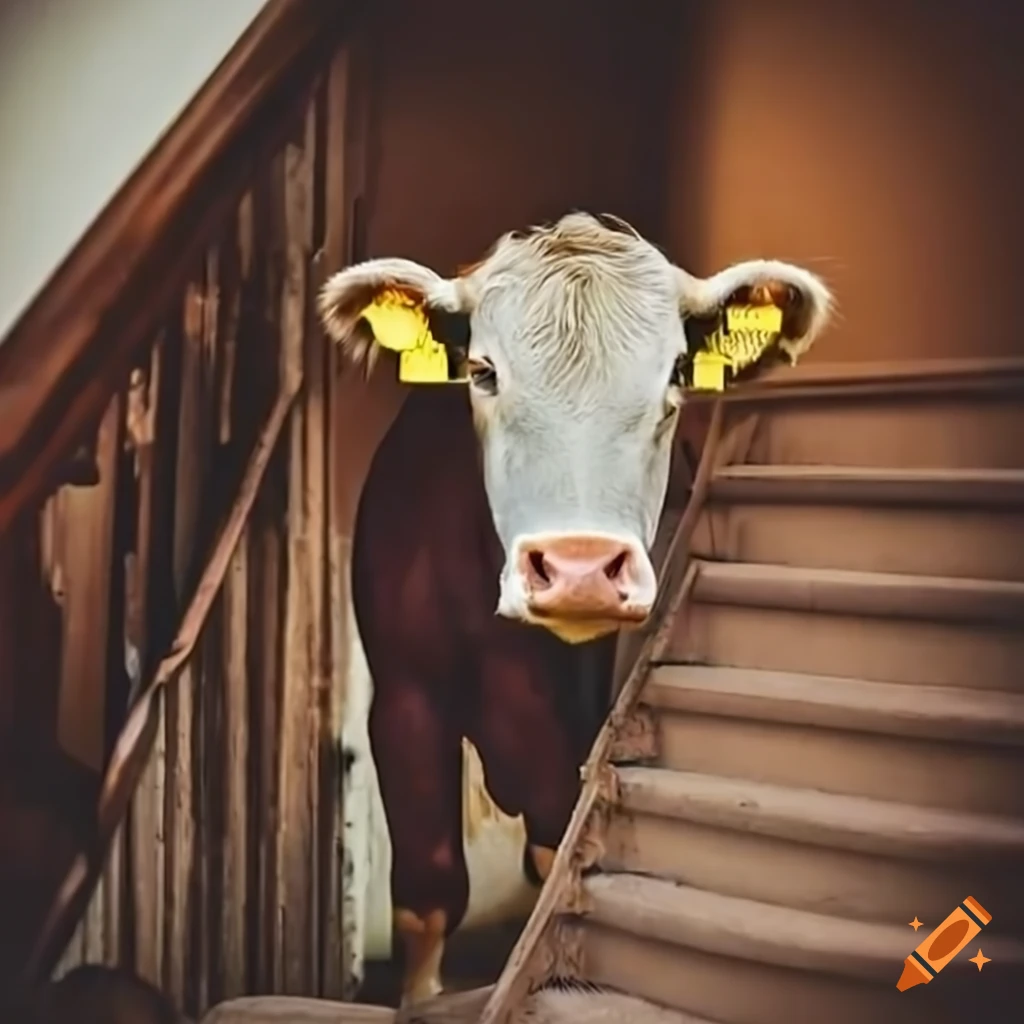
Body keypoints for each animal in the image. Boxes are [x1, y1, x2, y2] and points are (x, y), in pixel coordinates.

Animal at [318, 212, 833, 1005]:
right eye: (483, 371)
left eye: (677, 373)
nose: (580, 569)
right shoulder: (406, 695)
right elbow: (429, 891)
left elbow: (556, 855)